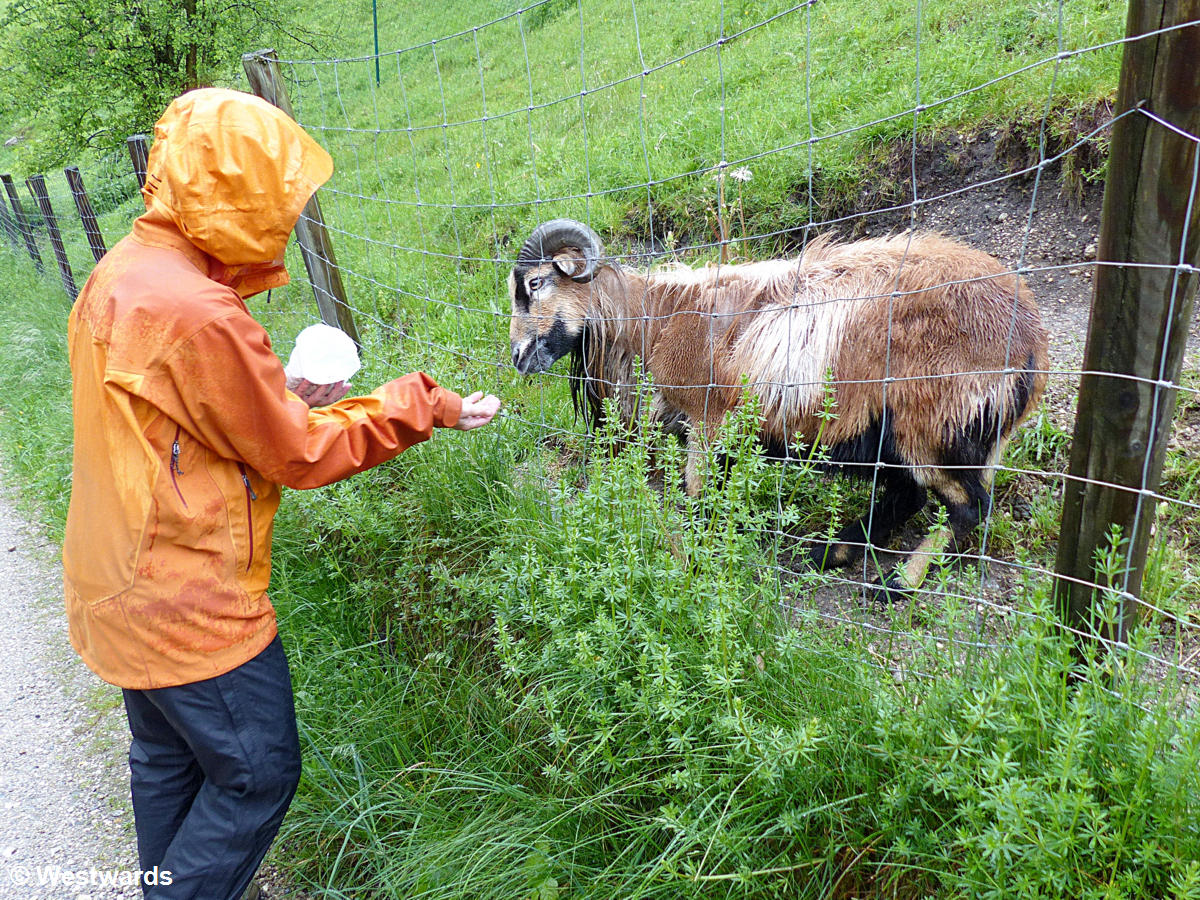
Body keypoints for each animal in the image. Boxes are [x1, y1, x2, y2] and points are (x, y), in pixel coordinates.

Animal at [508, 218, 1049, 596]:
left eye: (535, 284)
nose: (517, 357)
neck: (656, 318)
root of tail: (1032, 343)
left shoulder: (707, 419)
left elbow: (696, 496)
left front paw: (696, 561)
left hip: (931, 424)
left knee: (968, 507)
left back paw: (897, 583)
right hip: (893, 436)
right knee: (911, 496)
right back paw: (833, 551)